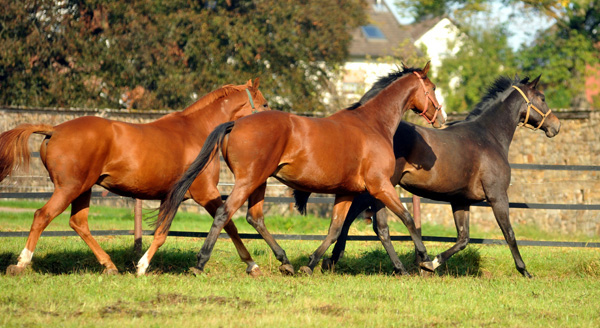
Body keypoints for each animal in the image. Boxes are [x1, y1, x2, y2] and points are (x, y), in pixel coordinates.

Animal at [0, 78, 270, 276]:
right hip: (69, 188)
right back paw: (21, 263)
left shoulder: (173, 197)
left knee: (78, 223)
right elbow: (227, 224)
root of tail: (54, 129)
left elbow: (167, 231)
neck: (198, 132)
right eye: (265, 104)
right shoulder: (205, 192)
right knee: (42, 216)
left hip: (83, 189)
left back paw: (110, 266)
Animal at [157, 62, 448, 276]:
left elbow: (338, 229)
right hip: (249, 180)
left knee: (255, 218)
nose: (442, 119)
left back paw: (285, 262)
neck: (373, 124)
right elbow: (407, 220)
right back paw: (201, 263)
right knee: (224, 214)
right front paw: (425, 261)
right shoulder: (381, 186)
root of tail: (235, 123)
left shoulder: (349, 192)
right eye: (433, 87)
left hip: (259, 181)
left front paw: (311, 264)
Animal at [300, 74, 564, 276]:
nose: (556, 126)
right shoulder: (498, 196)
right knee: (366, 221)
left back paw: (330, 260)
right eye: (542, 98)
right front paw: (524, 271)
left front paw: (430, 264)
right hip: (381, 186)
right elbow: (509, 233)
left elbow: (463, 239)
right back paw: (331, 260)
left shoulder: (461, 201)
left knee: (354, 216)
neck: (488, 137)